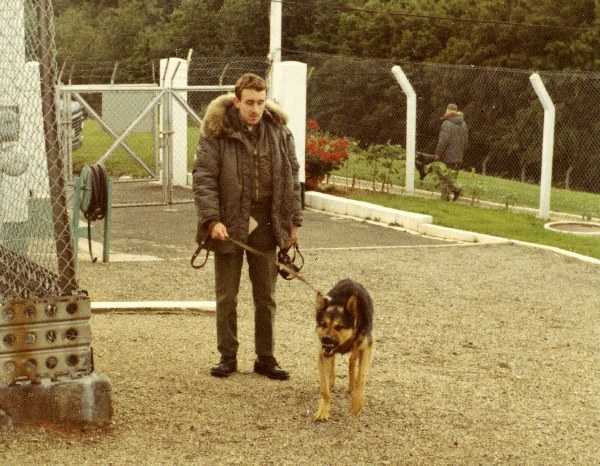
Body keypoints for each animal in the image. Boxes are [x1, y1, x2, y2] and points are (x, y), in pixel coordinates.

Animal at [316, 280, 372, 422]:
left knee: (352, 362)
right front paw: (324, 409)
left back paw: (352, 385)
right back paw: (332, 380)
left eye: (339, 327)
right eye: (323, 324)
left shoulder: (367, 348)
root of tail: (351, 280)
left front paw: (356, 403)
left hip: (358, 347)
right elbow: (324, 388)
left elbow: (361, 377)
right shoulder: (323, 353)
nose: (325, 339)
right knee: (333, 362)